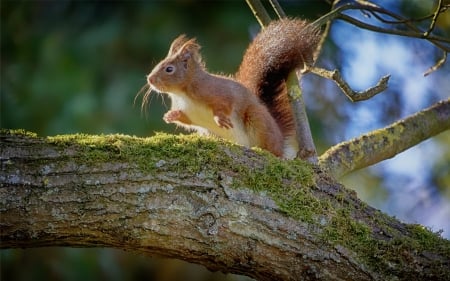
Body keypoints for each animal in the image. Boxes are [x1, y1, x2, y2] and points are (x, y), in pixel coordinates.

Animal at [142, 18, 322, 156]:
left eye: (169, 69)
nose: (150, 79)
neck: (182, 93)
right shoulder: (189, 112)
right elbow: (187, 120)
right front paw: (171, 115)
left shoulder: (216, 91)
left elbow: (225, 103)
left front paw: (219, 118)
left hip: (257, 119)